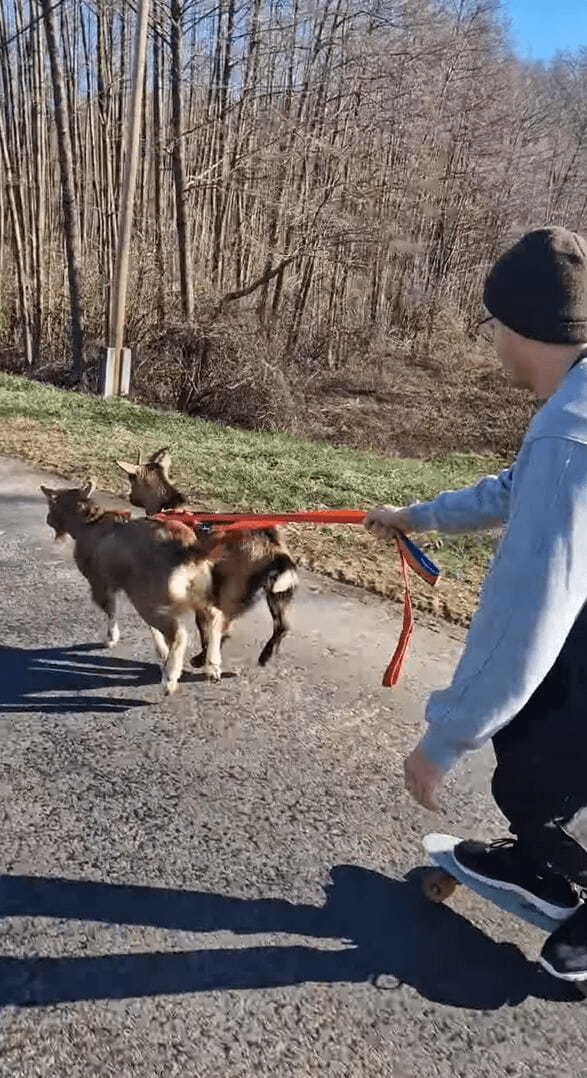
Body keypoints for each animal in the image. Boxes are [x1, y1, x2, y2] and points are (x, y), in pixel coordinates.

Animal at [41, 480, 238, 689]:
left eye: (52, 502)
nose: (48, 519)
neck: (90, 523)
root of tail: (188, 549)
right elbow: (151, 629)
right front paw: (162, 653)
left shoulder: (101, 582)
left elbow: (110, 609)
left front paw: (110, 639)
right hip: (199, 589)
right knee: (215, 616)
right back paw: (212, 666)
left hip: (152, 598)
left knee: (178, 632)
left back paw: (170, 679)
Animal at [115, 444, 297, 664]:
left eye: (131, 478)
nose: (129, 497)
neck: (170, 507)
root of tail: (275, 550)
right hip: (278, 593)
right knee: (282, 626)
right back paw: (265, 655)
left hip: (232, 593)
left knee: (225, 631)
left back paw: (202, 658)